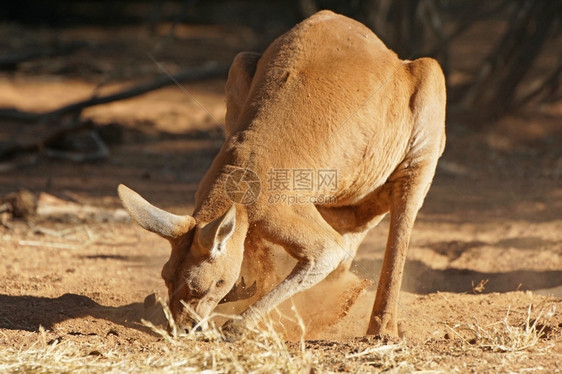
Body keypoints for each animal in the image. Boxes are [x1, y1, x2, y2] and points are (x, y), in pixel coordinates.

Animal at [117, 10, 442, 338]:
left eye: (204, 287)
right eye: (166, 277)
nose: (182, 330)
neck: (236, 182)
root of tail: (384, 49)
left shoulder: (279, 212)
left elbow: (326, 252)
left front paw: (238, 325)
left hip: (427, 108)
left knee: (400, 219)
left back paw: (381, 329)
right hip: (241, 66)